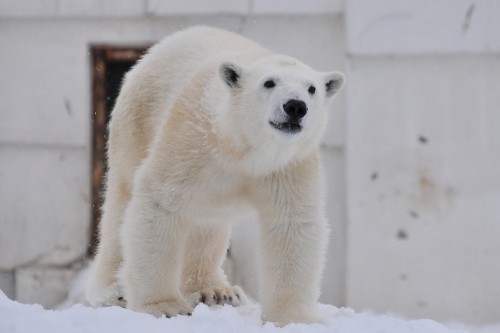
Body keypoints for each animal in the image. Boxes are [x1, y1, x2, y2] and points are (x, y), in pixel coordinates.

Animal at [87, 25, 344, 324]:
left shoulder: (288, 165)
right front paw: (164, 306)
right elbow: (160, 203)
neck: (241, 147)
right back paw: (114, 291)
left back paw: (216, 291)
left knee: (208, 224)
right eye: (269, 83)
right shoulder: (190, 141)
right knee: (120, 206)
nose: (295, 106)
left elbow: (292, 223)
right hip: (136, 124)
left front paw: (294, 318)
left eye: (312, 88)